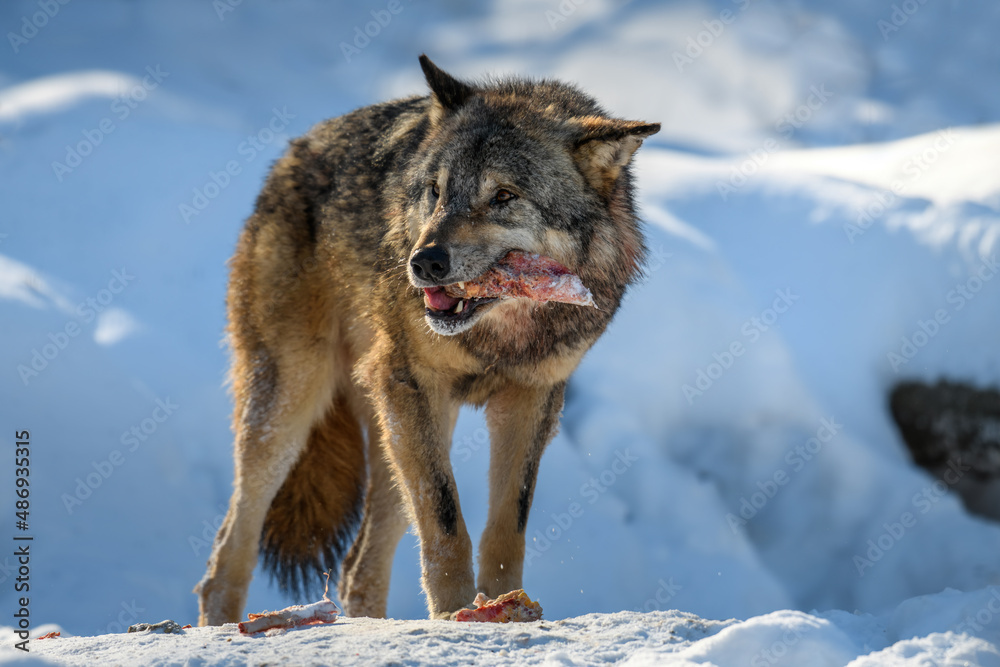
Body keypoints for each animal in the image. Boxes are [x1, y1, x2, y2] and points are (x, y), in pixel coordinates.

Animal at [195, 55, 659, 624]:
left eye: (504, 196)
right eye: (435, 192)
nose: (424, 263)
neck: (502, 335)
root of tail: (290, 155)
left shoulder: (531, 400)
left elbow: (507, 529)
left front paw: (503, 604)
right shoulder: (412, 384)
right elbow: (445, 525)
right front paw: (455, 616)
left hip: (397, 435)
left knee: (356, 568)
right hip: (295, 407)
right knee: (227, 554)